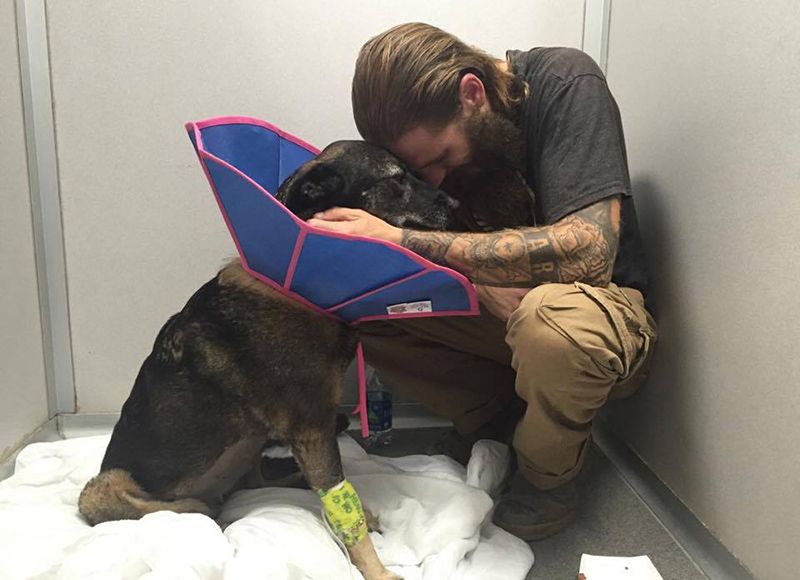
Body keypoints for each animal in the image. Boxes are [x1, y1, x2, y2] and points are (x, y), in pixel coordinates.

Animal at [77, 140, 462, 580]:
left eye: (416, 172)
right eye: (397, 179)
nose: (457, 202)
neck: (300, 290)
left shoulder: (313, 431)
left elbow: (337, 493)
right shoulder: (312, 426)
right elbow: (341, 505)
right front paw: (378, 571)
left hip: (251, 444)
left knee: (257, 483)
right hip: (104, 487)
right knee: (193, 504)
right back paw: (210, 511)